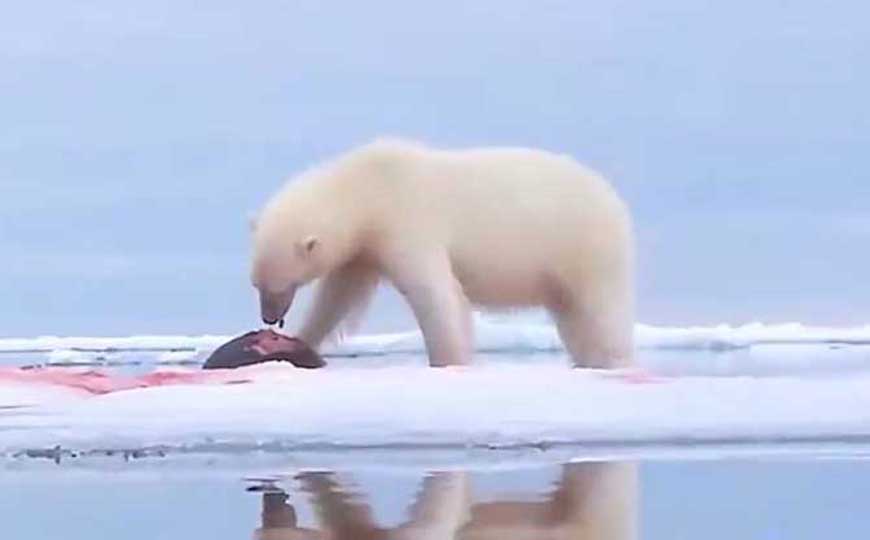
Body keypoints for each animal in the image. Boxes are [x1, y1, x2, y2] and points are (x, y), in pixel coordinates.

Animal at [250, 138, 634, 368]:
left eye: (279, 286)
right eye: (257, 284)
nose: (269, 317)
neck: (367, 186)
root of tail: (614, 199)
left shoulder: (406, 219)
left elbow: (434, 293)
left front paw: (449, 361)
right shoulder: (364, 247)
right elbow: (340, 296)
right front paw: (299, 340)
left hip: (584, 246)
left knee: (599, 313)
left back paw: (612, 361)